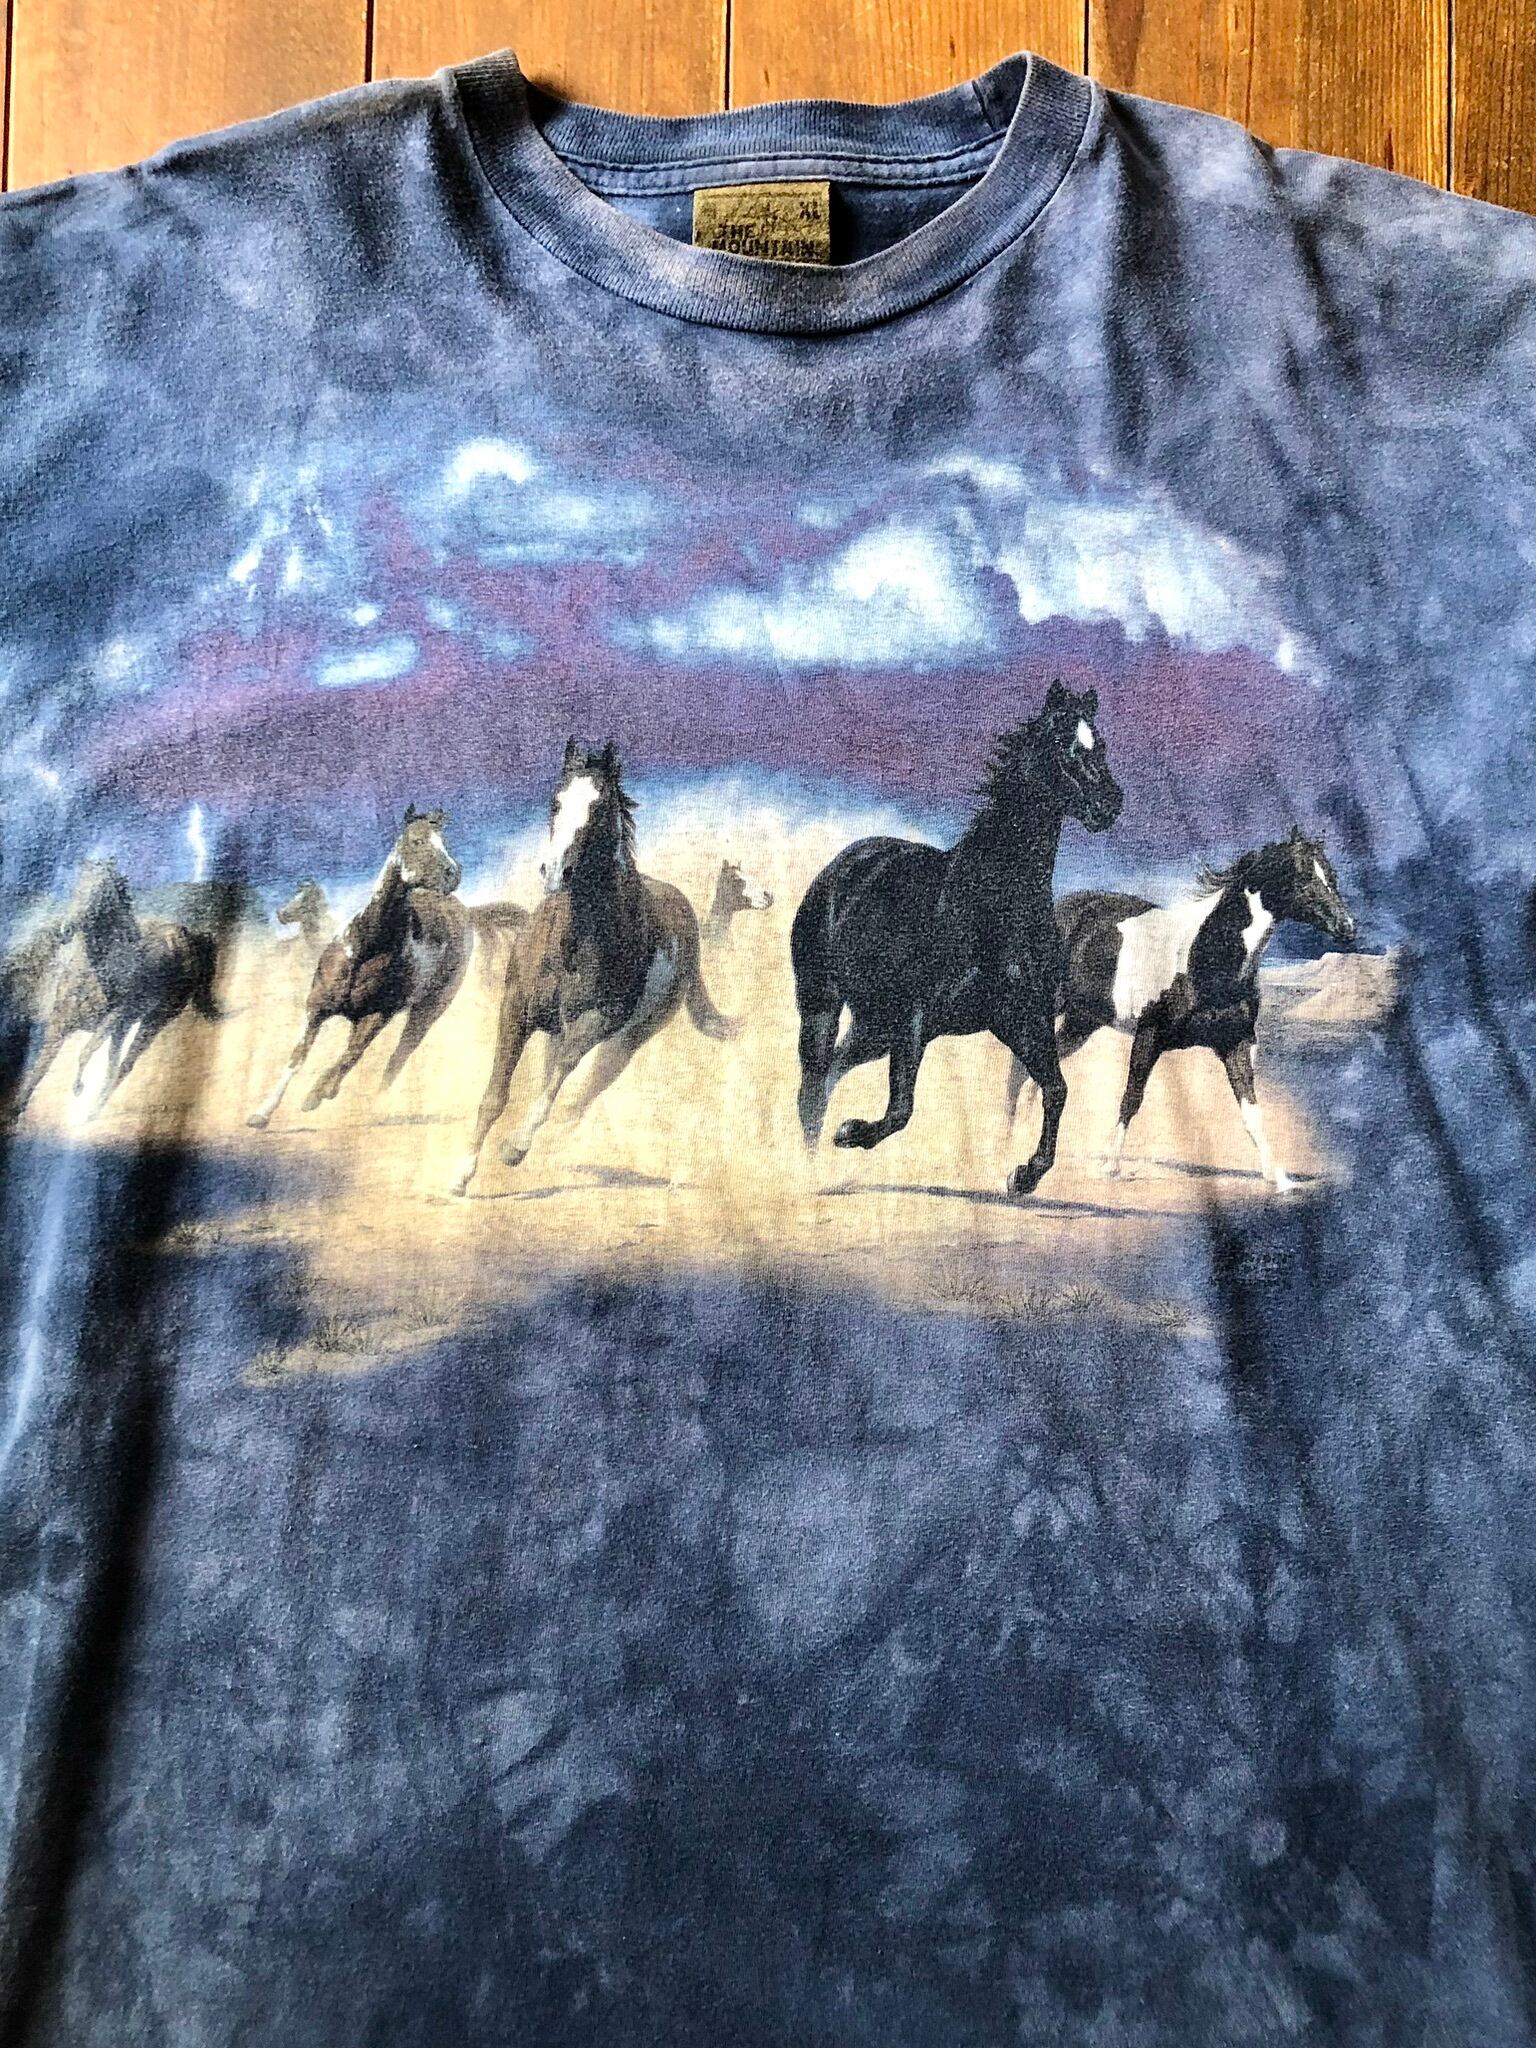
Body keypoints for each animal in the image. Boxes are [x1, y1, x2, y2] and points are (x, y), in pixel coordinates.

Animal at [5, 858, 221, 1120]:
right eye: (77, 886)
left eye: (101, 892)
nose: (66, 931)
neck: (97, 973)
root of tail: (187, 936)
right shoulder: (60, 1025)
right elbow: (40, 1067)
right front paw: (16, 1110)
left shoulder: (112, 1018)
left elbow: (85, 1052)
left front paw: (78, 1088)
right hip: (125, 1027)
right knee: (113, 1063)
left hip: (154, 1021)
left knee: (125, 1065)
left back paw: (92, 1112)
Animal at [248, 807, 470, 1128]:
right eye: (416, 841)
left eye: (444, 842)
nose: (453, 874)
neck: (366, 948)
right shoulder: (316, 1007)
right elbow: (298, 1056)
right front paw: (261, 1113)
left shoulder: (377, 1015)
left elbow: (350, 1056)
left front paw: (314, 1095)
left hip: (427, 1011)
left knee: (395, 1058)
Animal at [452, 740, 734, 1195]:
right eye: (555, 802)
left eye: (598, 807)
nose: (555, 871)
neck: (573, 942)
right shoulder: (516, 1008)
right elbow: (496, 1093)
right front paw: (460, 1174)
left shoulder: (596, 1022)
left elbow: (561, 1078)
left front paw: (515, 1148)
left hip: (628, 1040)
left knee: (582, 1093)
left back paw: (544, 1150)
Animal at [791, 679, 1123, 1200]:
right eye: (1061, 744)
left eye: (1101, 745)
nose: (1109, 805)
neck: (991, 905)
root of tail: (842, 865)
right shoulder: (914, 1019)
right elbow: (901, 1109)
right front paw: (850, 1132)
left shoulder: (1022, 1017)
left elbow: (1055, 1090)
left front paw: (1024, 1175)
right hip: (823, 1002)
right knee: (813, 1081)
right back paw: (810, 1170)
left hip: (874, 1024)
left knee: (832, 1072)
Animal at [1003, 827, 1357, 1192]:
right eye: (1303, 877)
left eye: (1331, 876)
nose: (1347, 927)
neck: (1204, 958)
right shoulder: (1148, 1036)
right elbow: (1131, 1099)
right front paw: (1110, 1167)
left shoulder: (1237, 1044)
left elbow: (1251, 1113)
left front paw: (1281, 1180)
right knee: (1022, 1067)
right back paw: (1010, 1139)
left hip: (1082, 1022)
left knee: (1034, 1071)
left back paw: (1017, 1136)